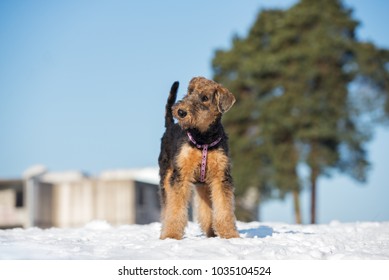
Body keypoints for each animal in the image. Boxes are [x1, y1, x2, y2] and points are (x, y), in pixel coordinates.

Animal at [158, 76, 239, 238]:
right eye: (190, 91)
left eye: (205, 98)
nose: (181, 111)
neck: (203, 138)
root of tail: (170, 125)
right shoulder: (180, 175)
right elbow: (175, 209)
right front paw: (171, 235)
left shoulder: (221, 177)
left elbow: (224, 209)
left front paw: (230, 235)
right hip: (166, 177)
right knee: (166, 207)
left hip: (204, 185)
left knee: (206, 210)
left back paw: (211, 232)